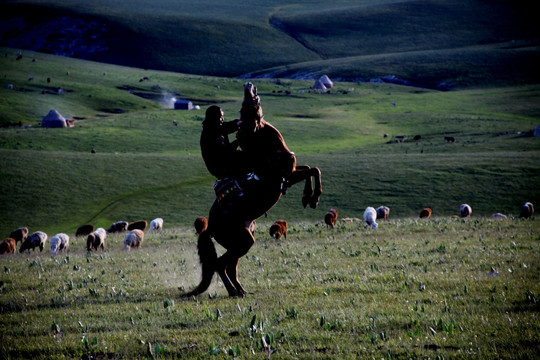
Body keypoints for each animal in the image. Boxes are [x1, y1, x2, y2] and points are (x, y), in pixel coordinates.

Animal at [182, 82, 320, 298]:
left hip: (241, 241)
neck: (269, 152)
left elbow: (311, 169)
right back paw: (234, 292)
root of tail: (210, 227)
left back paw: (242, 290)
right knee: (220, 265)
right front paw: (312, 197)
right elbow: (312, 170)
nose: (249, 85)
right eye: (248, 106)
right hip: (243, 241)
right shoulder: (282, 177)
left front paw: (309, 198)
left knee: (229, 267)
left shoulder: (289, 176)